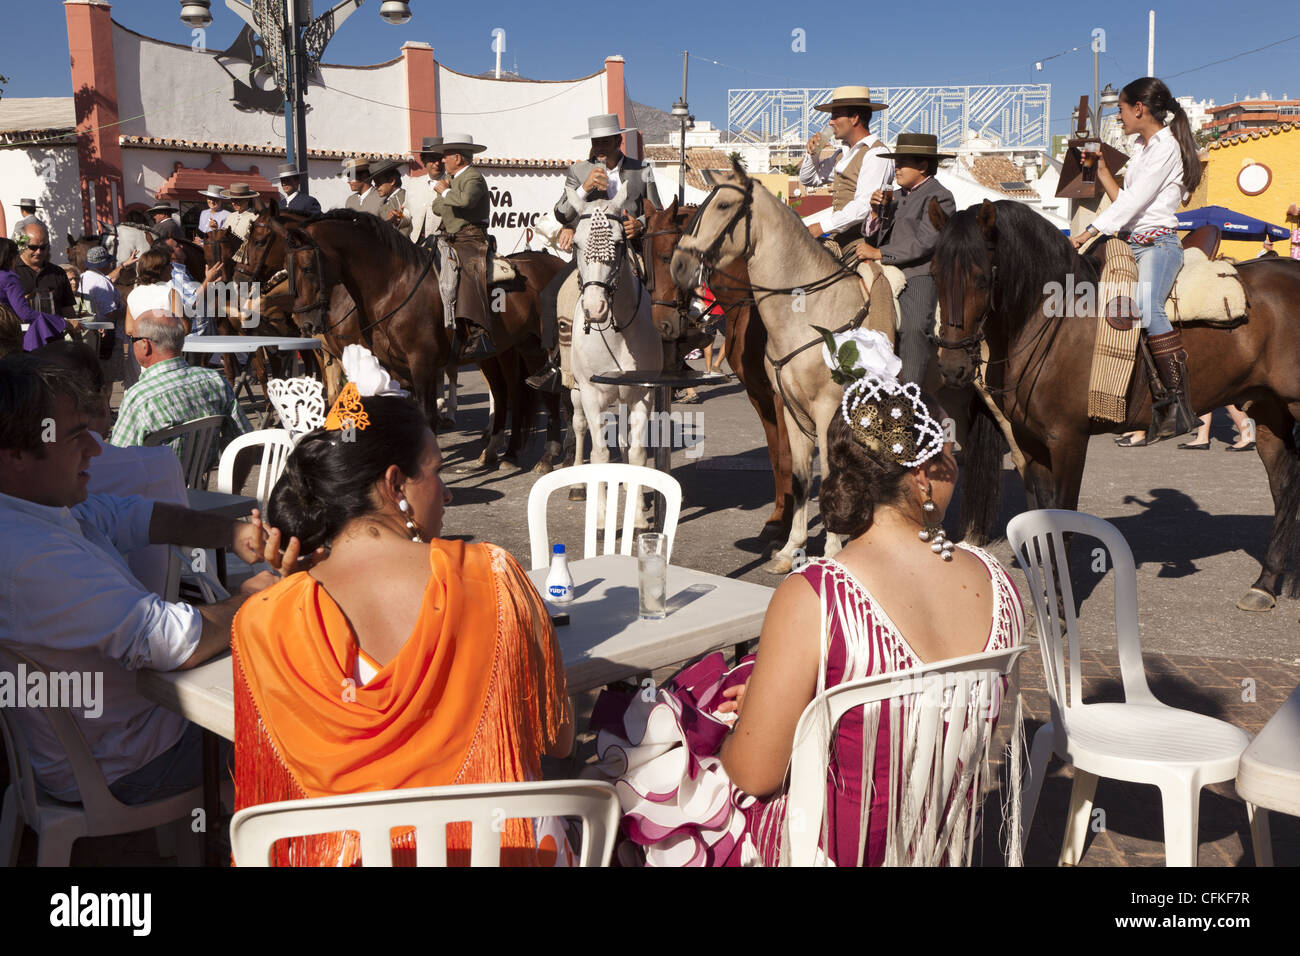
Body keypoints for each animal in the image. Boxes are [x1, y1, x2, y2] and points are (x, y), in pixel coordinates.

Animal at [279, 214, 569, 476]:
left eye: (307, 268)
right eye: (288, 269)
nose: (304, 322)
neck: (393, 286)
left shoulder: (422, 364)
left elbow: (426, 416)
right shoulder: (388, 367)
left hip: (544, 349)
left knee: (549, 393)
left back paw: (550, 454)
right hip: (519, 348)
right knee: (512, 392)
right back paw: (508, 453)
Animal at [569, 192, 670, 522]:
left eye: (617, 243)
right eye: (576, 243)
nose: (594, 308)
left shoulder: (641, 394)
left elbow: (636, 452)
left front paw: (637, 516)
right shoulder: (591, 394)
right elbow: (599, 452)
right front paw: (601, 517)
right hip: (575, 391)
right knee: (579, 427)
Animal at [639, 196, 790, 538]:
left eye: (668, 256)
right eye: (643, 259)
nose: (662, 326)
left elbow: (791, 455)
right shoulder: (759, 394)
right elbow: (777, 455)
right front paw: (778, 520)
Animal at [935, 201, 1300, 613]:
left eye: (982, 278)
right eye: (934, 273)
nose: (952, 367)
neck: (1054, 320)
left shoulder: (1068, 440)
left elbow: (1063, 526)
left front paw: (1063, 610)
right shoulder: (1031, 443)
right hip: (1270, 411)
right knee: (1284, 487)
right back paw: (1265, 584)